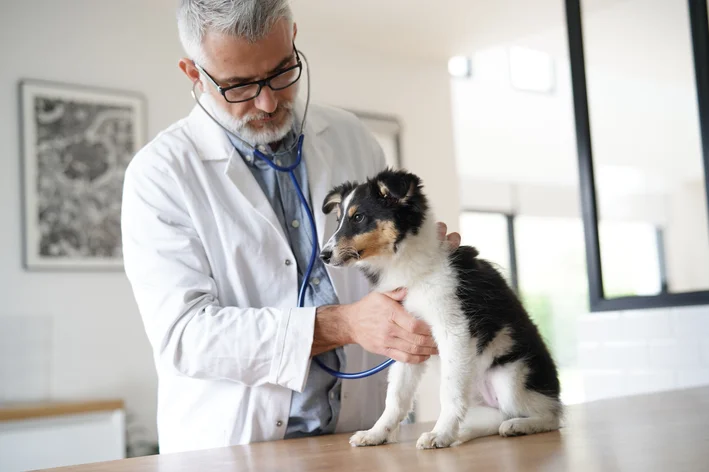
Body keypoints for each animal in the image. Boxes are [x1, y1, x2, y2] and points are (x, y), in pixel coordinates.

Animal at [320, 169, 560, 450]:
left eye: (358, 217)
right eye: (338, 221)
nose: (323, 256)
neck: (411, 266)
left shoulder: (454, 329)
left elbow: (449, 391)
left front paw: (440, 434)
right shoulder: (405, 338)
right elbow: (396, 396)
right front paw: (376, 433)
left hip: (510, 377)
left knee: (550, 415)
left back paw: (519, 426)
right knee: (495, 416)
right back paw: (466, 432)